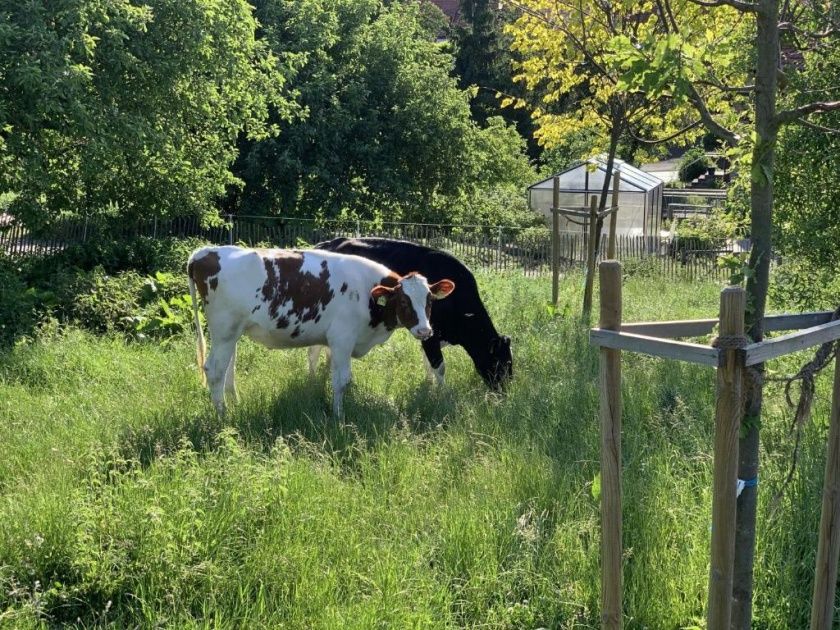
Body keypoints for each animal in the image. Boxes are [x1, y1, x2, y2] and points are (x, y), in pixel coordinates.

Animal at [188, 247, 456, 420]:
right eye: (402, 301)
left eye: (430, 300)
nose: (425, 330)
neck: (366, 292)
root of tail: (204, 252)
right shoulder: (342, 339)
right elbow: (342, 381)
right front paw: (339, 417)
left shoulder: (334, 342)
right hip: (224, 332)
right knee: (214, 371)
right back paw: (223, 417)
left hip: (232, 333)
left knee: (227, 369)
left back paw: (233, 404)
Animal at [316, 237, 512, 390]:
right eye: (500, 363)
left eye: (510, 362)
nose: (505, 392)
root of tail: (328, 243)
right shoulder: (431, 334)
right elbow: (438, 365)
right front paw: (442, 394)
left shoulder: (430, 332)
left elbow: (429, 362)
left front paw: (430, 386)